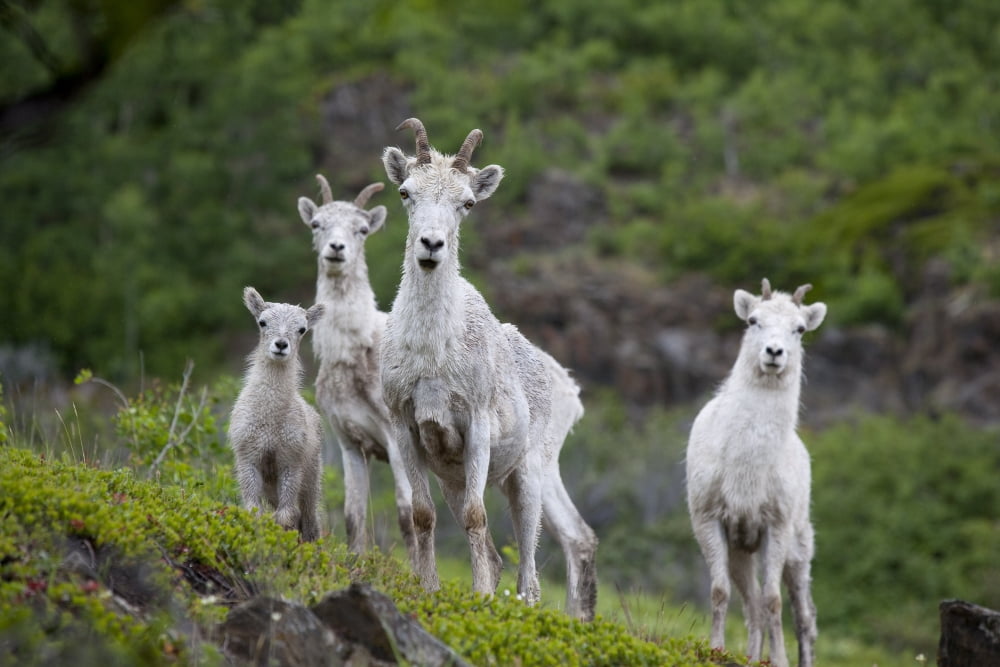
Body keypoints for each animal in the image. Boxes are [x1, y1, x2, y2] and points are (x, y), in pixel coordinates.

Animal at [228, 287, 326, 542]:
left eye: (302, 329)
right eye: (262, 322)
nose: (281, 345)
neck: (270, 420)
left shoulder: (291, 463)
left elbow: (285, 517)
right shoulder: (248, 459)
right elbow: (254, 512)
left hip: (311, 481)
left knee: (309, 521)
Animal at [297, 175, 416, 558]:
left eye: (362, 229)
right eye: (316, 223)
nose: (336, 249)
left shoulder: (395, 439)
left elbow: (407, 515)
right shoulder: (349, 441)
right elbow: (353, 515)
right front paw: (356, 562)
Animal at [379, 118, 597, 621]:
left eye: (468, 203)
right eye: (405, 192)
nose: (431, 246)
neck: (433, 354)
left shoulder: (475, 426)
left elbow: (477, 519)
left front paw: (478, 600)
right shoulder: (406, 429)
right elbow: (422, 516)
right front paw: (428, 590)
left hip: (529, 478)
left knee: (531, 573)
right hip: (456, 480)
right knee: (501, 557)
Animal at [686, 278, 826, 667]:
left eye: (799, 329)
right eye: (753, 320)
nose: (774, 352)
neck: (747, 467)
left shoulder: (774, 528)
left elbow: (773, 601)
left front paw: (778, 661)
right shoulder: (711, 522)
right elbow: (721, 593)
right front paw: (715, 650)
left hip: (797, 551)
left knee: (804, 618)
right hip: (741, 554)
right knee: (752, 608)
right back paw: (749, 657)